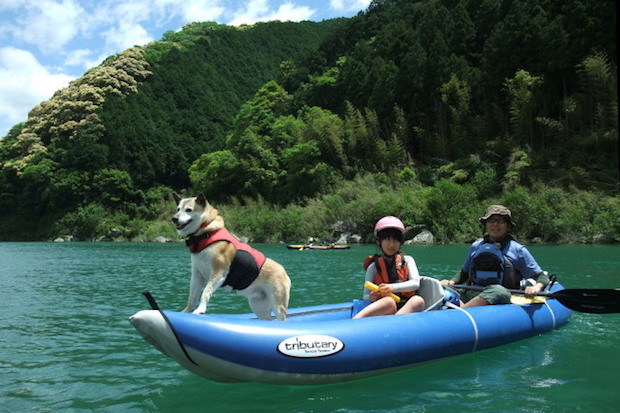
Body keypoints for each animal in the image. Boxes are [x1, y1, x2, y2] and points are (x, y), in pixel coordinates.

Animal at [172, 192, 290, 320]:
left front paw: (200, 309)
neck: (205, 233)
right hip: (258, 306)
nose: (174, 218)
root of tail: (285, 272)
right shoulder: (197, 275)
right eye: (178, 209)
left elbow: (205, 292)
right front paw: (186, 311)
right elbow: (192, 296)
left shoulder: (219, 272)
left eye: (188, 210)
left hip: (278, 305)